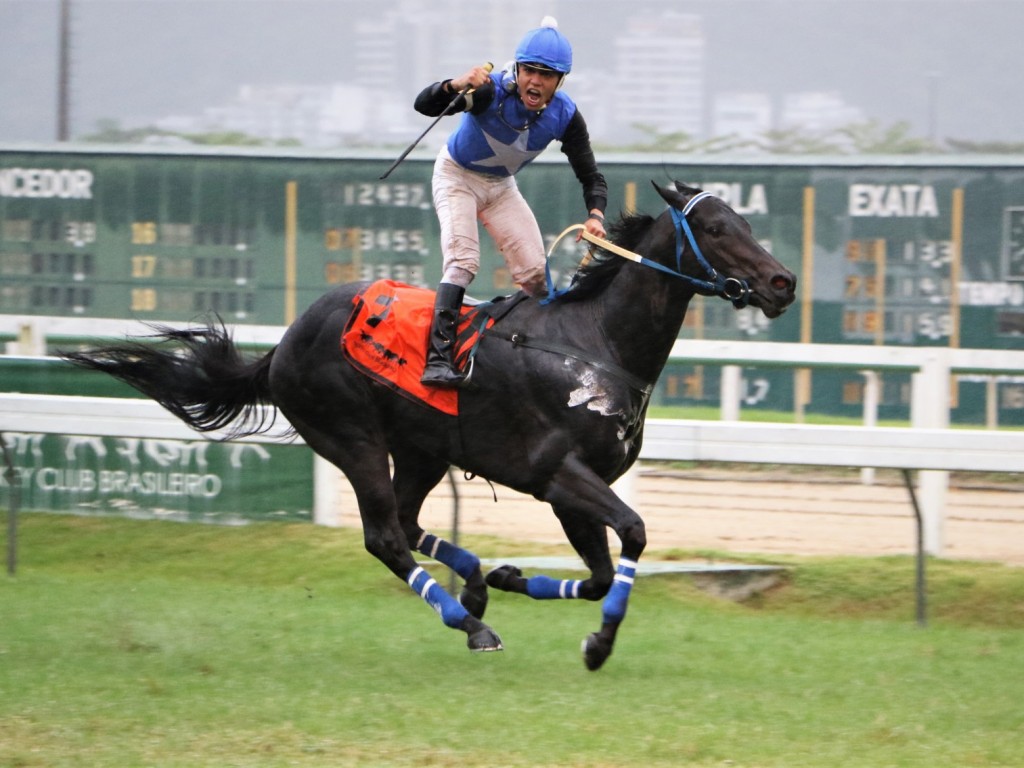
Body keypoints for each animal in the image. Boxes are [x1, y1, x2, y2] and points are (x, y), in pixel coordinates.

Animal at [66, 183, 798, 671]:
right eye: (717, 228)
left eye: (744, 221)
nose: (782, 282)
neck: (595, 343)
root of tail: (282, 345)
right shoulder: (560, 474)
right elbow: (635, 535)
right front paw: (598, 643)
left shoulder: (571, 491)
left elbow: (595, 573)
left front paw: (510, 577)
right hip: (351, 436)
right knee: (385, 535)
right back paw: (467, 621)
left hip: (421, 448)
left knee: (408, 519)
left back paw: (474, 582)